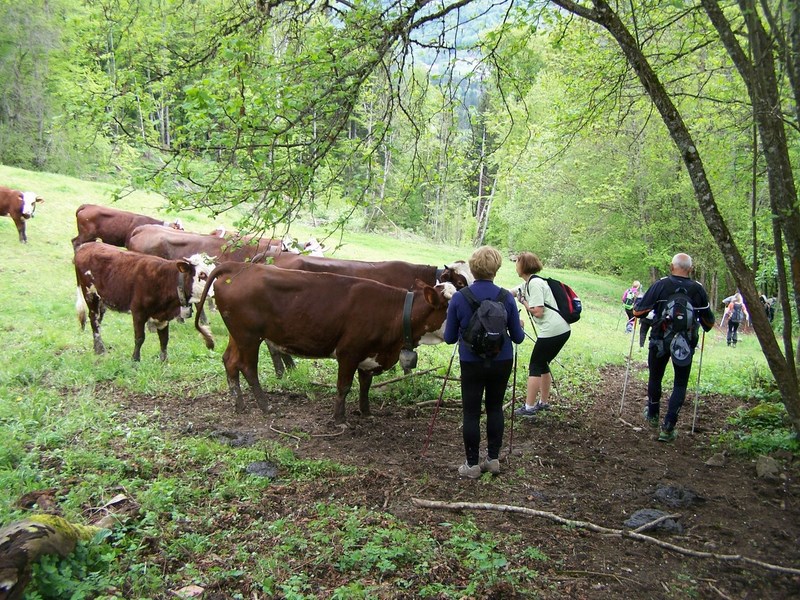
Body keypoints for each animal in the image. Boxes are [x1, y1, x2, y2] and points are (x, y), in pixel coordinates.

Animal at [74, 243, 216, 360]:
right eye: (202, 274)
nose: (216, 292)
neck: (166, 280)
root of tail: (85, 246)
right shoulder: (138, 312)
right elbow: (139, 338)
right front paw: (135, 360)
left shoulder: (162, 316)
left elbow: (164, 339)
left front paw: (164, 362)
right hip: (90, 295)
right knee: (94, 319)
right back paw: (100, 350)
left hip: (102, 299)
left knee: (98, 320)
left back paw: (96, 347)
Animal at [194, 262, 454, 422]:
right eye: (449, 305)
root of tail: (239, 266)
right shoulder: (349, 352)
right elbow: (344, 387)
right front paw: (339, 419)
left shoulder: (370, 355)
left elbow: (365, 385)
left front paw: (366, 412)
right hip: (249, 337)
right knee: (247, 367)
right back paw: (265, 406)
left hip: (238, 335)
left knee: (230, 361)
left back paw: (239, 404)